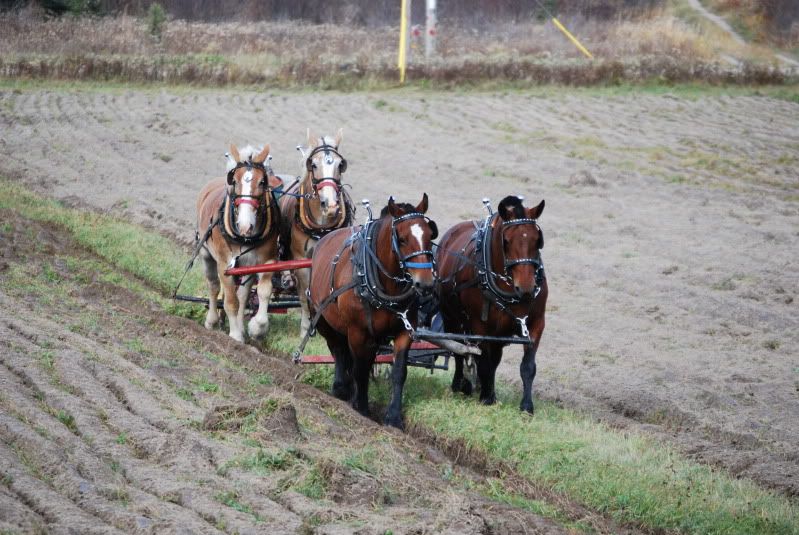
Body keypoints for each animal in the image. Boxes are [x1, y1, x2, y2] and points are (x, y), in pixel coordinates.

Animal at [195, 144, 281, 343]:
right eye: (234, 181)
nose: (245, 226)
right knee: (214, 286)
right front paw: (234, 336)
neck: (245, 237)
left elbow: (263, 291)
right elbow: (230, 301)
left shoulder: (266, 261)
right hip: (206, 254)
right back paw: (212, 321)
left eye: (262, 182)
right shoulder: (225, 265)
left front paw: (257, 328)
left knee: (243, 296)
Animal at [279, 129, 354, 339]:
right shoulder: (301, 260)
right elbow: (305, 294)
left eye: (340, 165)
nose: (330, 205)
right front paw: (306, 328)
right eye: (313, 164)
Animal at [307, 195, 438, 428]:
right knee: (337, 349)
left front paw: (394, 417)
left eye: (430, 236)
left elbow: (399, 372)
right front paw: (361, 407)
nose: (425, 284)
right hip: (322, 320)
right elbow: (360, 369)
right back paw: (341, 387)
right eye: (402, 239)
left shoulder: (404, 332)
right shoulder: (358, 332)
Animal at [435, 195, 547, 413]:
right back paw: (460, 385)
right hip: (452, 318)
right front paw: (486, 398)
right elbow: (483, 362)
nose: (527, 287)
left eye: (537, 240)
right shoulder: (480, 327)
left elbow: (528, 366)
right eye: (506, 240)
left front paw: (526, 406)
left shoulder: (536, 323)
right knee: (459, 351)